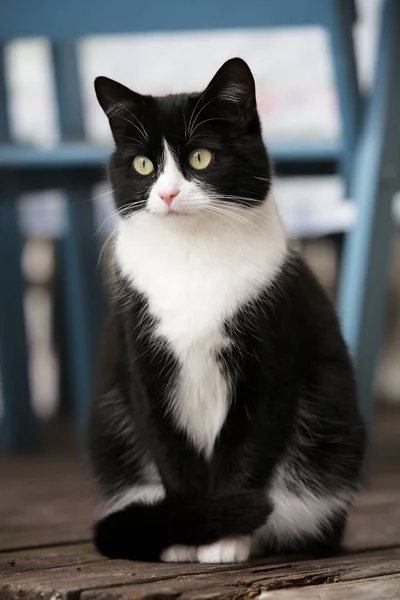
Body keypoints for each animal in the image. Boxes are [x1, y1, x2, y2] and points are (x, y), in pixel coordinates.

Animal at [89, 56, 364, 564]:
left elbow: (246, 449)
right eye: (143, 164)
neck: (192, 256)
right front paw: (185, 534)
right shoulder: (145, 368)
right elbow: (170, 452)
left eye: (201, 157)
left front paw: (222, 540)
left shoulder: (268, 363)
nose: (168, 194)